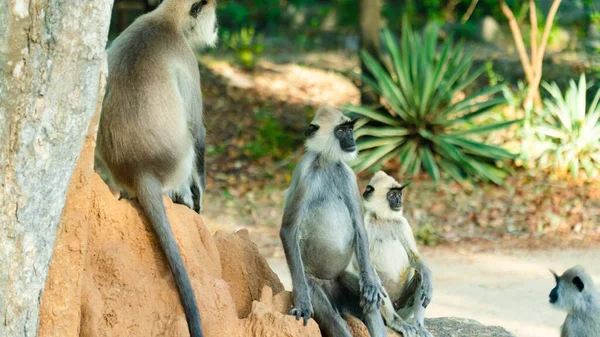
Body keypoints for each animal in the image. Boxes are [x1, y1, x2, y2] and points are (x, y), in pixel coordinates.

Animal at [92, 1, 217, 334]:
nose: (216, 27)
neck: (165, 19)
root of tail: (140, 170)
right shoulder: (187, 56)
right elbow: (198, 130)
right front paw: (200, 197)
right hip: (177, 162)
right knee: (189, 142)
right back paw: (182, 197)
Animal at [282, 105, 390, 336]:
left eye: (350, 129)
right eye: (341, 131)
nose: (352, 138)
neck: (326, 162)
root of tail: (330, 285)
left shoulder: (348, 174)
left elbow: (359, 226)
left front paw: (372, 283)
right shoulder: (305, 172)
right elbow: (288, 229)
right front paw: (302, 303)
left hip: (341, 278)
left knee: (368, 304)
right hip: (312, 284)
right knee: (332, 318)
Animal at [352, 171, 432, 336]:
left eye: (399, 194)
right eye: (392, 195)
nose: (399, 200)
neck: (384, 219)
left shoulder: (402, 223)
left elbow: (414, 256)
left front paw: (428, 277)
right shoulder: (366, 223)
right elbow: (359, 263)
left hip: (402, 308)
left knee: (419, 276)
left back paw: (419, 326)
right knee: (378, 288)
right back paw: (395, 322)